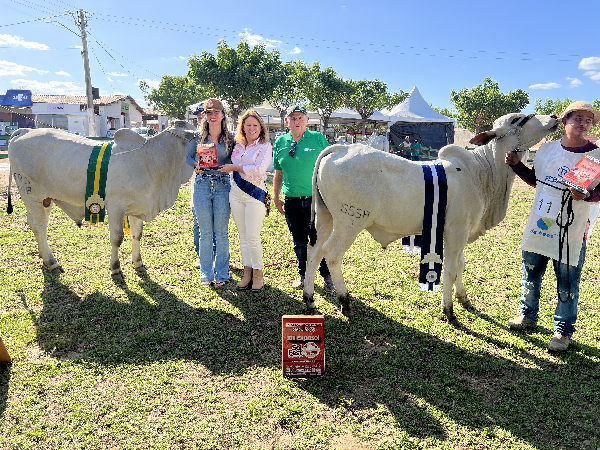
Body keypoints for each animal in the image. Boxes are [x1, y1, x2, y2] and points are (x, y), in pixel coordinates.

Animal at [6, 121, 197, 280]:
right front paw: (116, 269)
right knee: (39, 226)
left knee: (36, 224)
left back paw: (43, 256)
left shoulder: (138, 206)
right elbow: (117, 238)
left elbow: (137, 235)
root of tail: (24, 131)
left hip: (45, 200)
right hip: (32, 195)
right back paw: (52, 263)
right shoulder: (116, 206)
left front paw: (138, 263)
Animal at [302, 112, 560, 324]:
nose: (555, 116)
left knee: (314, 251)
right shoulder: (456, 230)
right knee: (332, 254)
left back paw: (309, 298)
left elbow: (460, 264)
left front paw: (464, 299)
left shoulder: (460, 232)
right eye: (519, 119)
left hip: (326, 217)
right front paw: (449, 311)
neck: (482, 171)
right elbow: (450, 269)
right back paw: (345, 301)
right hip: (350, 222)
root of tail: (339, 148)